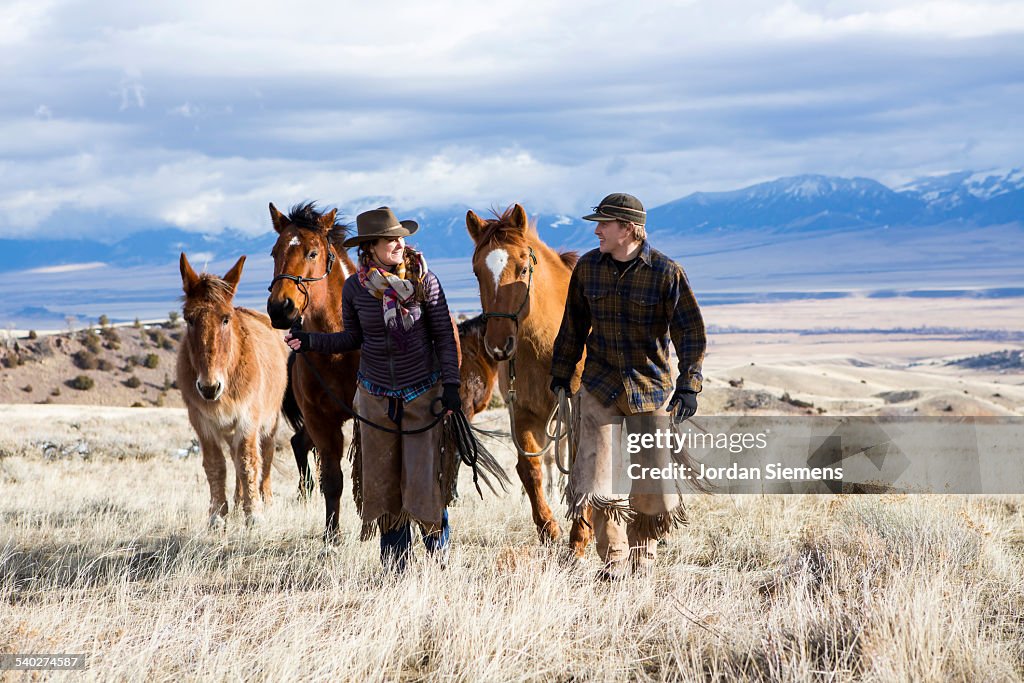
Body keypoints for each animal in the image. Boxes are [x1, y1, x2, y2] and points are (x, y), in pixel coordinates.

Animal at [176, 253, 288, 528]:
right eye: (188, 318)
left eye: (225, 318)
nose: (209, 387)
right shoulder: (202, 421)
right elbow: (216, 465)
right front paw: (217, 516)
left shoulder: (248, 418)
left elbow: (249, 462)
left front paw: (255, 515)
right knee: (234, 459)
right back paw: (238, 503)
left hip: (269, 422)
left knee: (265, 456)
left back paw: (264, 500)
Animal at [264, 202, 360, 544]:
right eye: (274, 251)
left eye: (313, 252)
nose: (281, 308)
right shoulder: (320, 419)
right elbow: (332, 479)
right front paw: (331, 537)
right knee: (298, 442)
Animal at [466, 204, 593, 557]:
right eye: (477, 273)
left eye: (523, 269)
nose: (498, 344)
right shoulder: (524, 413)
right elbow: (530, 469)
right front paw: (549, 530)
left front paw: (580, 539)